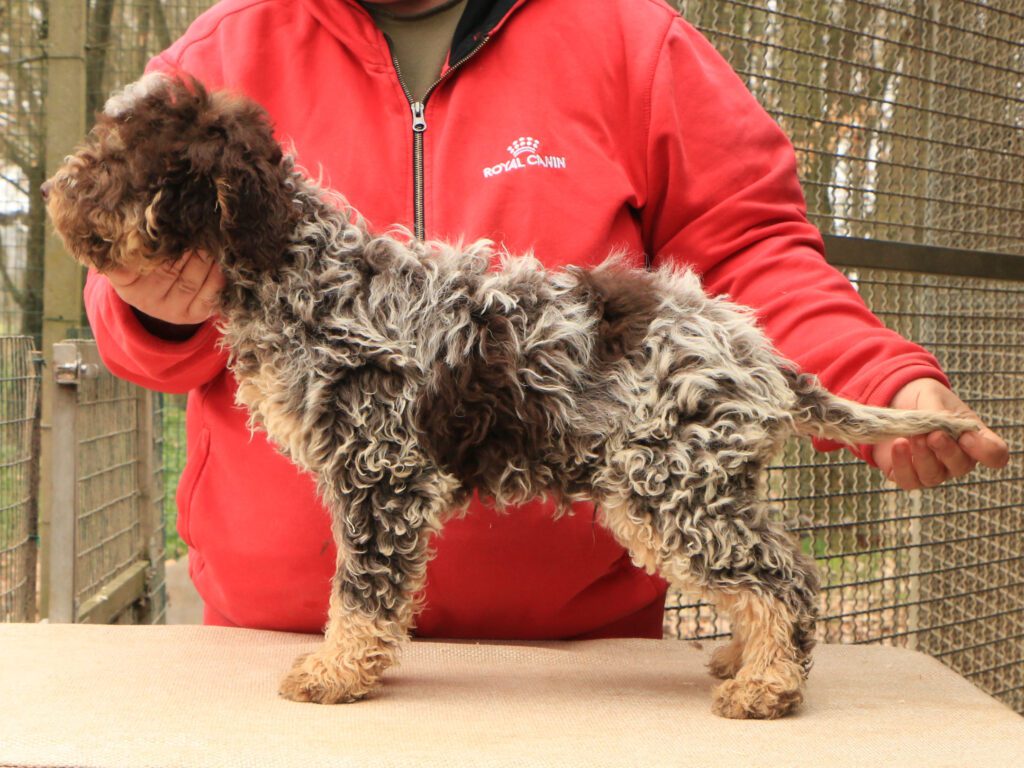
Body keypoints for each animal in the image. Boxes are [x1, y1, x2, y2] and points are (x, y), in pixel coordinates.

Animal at [48, 73, 974, 720]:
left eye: (124, 162)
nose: (57, 192)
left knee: (786, 578)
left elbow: (361, 591)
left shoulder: (381, 474)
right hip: (699, 488)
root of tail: (764, 356)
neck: (306, 272)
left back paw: (766, 688)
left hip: (672, 490)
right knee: (775, 570)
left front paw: (336, 673)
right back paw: (744, 660)